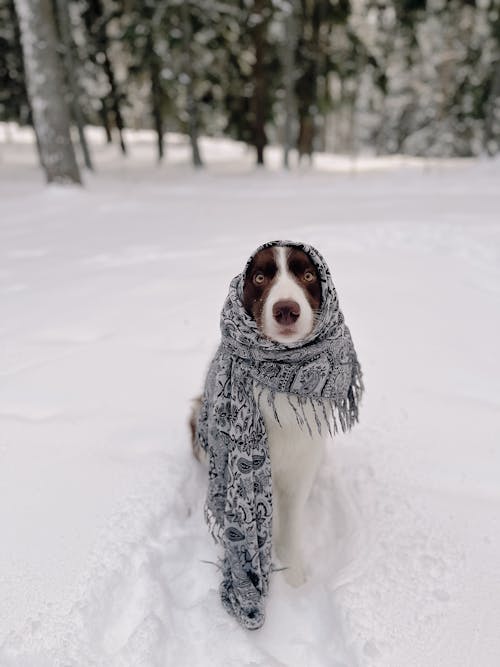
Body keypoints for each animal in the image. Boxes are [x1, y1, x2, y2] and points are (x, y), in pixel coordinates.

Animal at [191, 247, 328, 588]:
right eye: (260, 277)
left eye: (308, 275)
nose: (286, 310)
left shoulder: (302, 462)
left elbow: (292, 521)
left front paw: (293, 576)